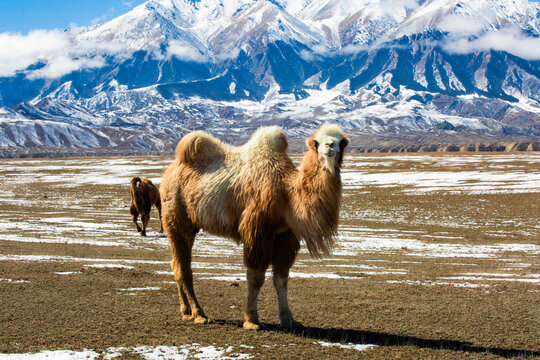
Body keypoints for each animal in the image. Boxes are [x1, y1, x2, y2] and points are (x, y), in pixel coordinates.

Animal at [158, 123, 348, 330]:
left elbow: (281, 279)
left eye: (341, 142)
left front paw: (288, 318)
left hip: (190, 225)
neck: (286, 192)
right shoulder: (257, 230)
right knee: (184, 267)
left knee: (176, 264)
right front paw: (251, 320)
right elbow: (255, 277)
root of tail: (168, 173)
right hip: (176, 220)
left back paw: (185, 312)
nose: (329, 146)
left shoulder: (285, 236)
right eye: (316, 142)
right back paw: (199, 314)